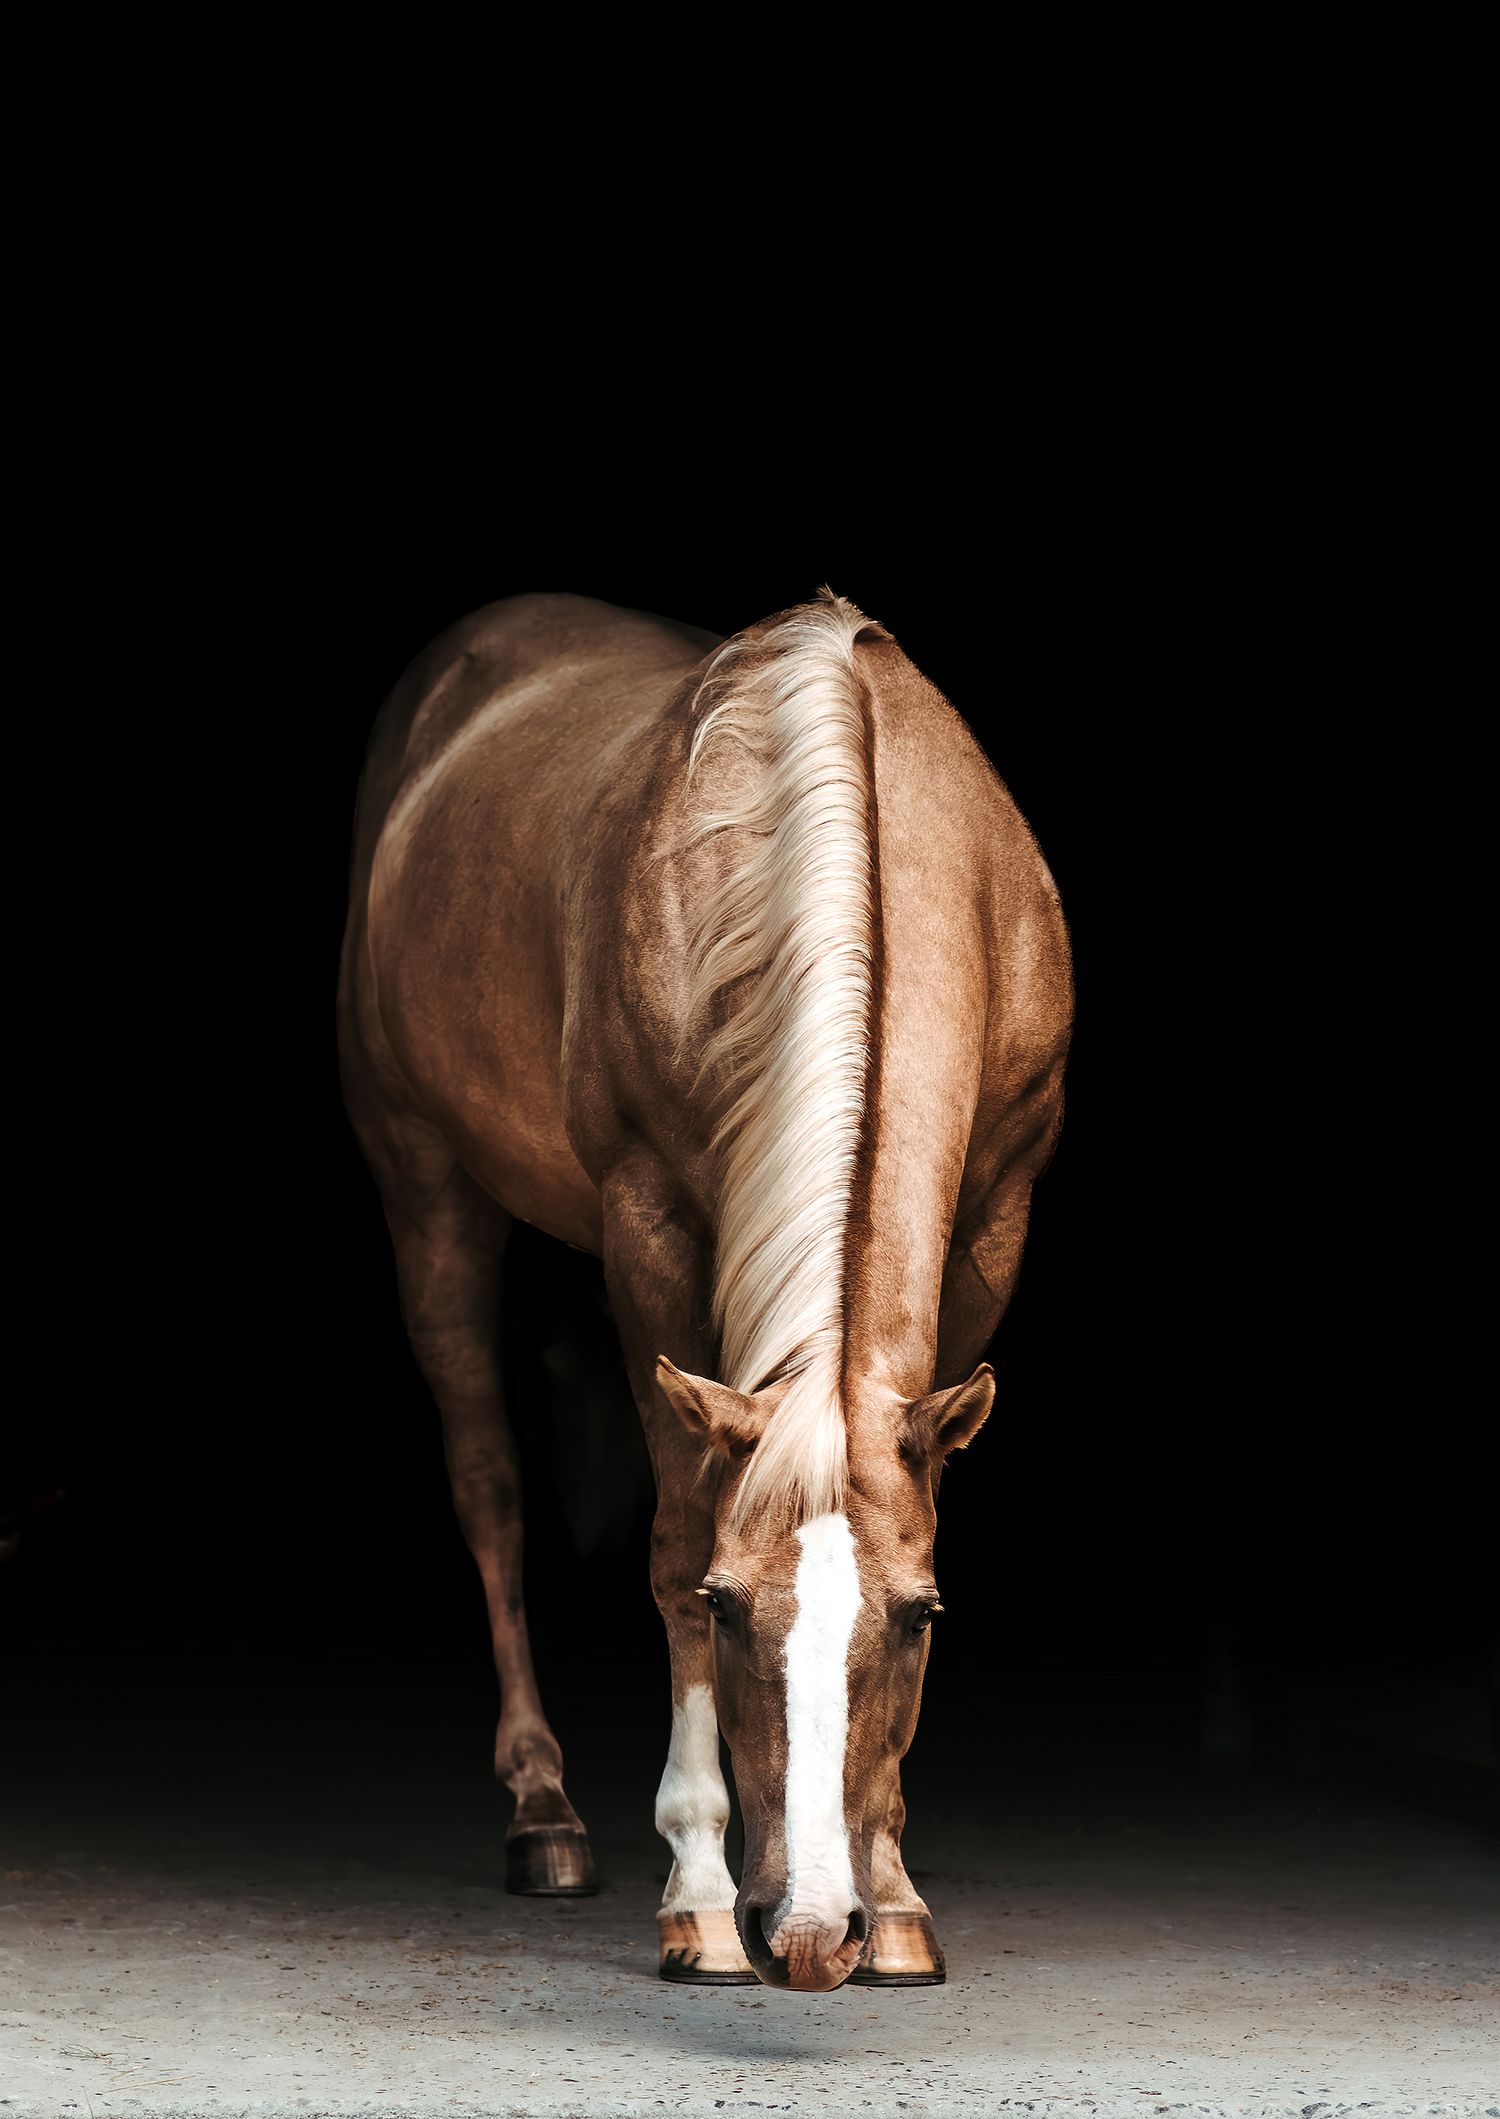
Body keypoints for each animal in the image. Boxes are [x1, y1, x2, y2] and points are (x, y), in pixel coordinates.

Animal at [337, 589, 1072, 1993]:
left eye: (919, 1619)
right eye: (732, 1614)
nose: (810, 1934)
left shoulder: (993, 1224)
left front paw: (897, 1896)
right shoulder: (650, 1224)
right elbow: (676, 1533)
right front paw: (696, 1893)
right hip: (426, 1181)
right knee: (490, 1485)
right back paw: (544, 1812)